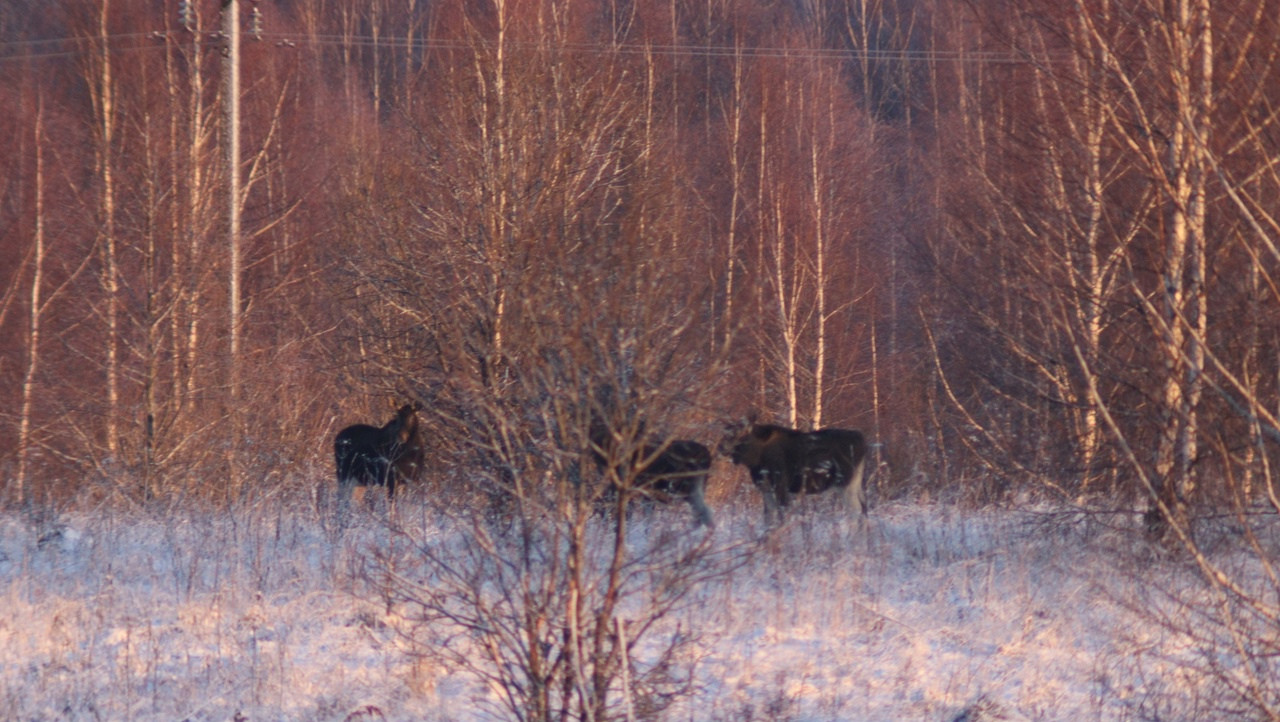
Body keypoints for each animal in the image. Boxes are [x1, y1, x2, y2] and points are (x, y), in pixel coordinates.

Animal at [727, 422, 865, 524]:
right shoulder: (766, 488)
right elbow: (768, 516)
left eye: (744, 435)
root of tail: (862, 441)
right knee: (863, 509)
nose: (724, 448)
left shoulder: (780, 486)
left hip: (845, 484)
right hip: (855, 483)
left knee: (856, 511)